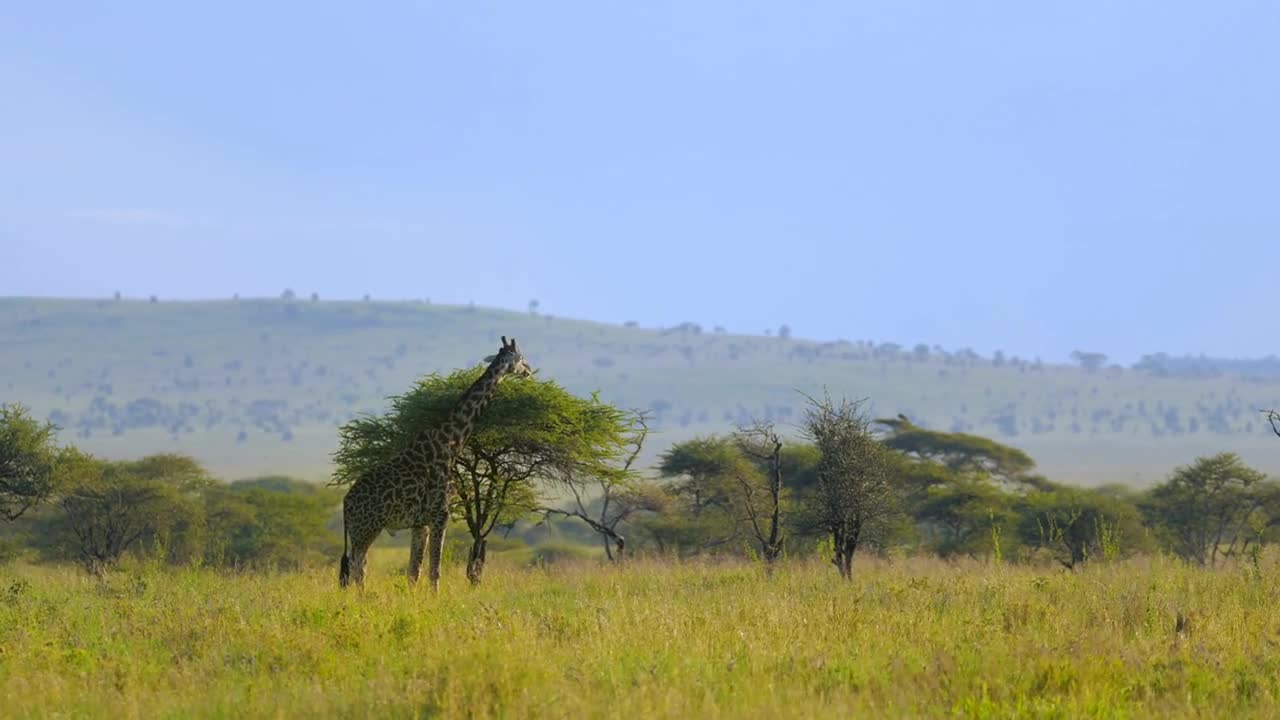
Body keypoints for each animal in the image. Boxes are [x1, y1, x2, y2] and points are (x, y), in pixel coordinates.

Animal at [335, 335, 535, 589]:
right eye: (521, 357)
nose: (529, 370)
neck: (450, 443)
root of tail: (346, 502)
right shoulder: (441, 515)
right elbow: (435, 569)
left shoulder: (420, 523)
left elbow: (414, 571)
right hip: (367, 527)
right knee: (357, 564)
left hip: (361, 530)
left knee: (355, 566)